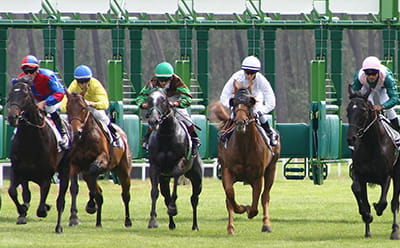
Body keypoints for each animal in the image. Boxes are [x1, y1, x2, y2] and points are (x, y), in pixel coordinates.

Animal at [54, 91, 133, 232]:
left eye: (83, 108)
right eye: (68, 108)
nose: (76, 132)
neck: (85, 138)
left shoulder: (103, 158)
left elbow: (93, 170)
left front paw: (91, 204)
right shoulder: (74, 164)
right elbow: (75, 188)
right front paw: (74, 217)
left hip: (124, 170)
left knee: (125, 194)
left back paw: (128, 221)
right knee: (97, 190)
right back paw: (98, 221)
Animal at [145, 87, 203, 231]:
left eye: (163, 99)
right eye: (149, 99)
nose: (153, 121)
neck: (166, 136)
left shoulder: (179, 163)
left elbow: (175, 184)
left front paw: (173, 208)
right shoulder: (155, 167)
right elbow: (154, 192)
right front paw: (152, 221)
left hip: (197, 178)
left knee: (194, 199)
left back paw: (195, 225)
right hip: (164, 179)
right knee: (166, 196)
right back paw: (171, 224)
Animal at [212, 86, 282, 234]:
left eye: (251, 102)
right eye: (233, 102)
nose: (240, 122)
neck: (244, 147)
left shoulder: (257, 176)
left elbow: (256, 202)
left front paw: (249, 210)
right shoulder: (227, 171)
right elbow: (230, 195)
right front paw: (242, 209)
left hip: (271, 169)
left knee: (265, 196)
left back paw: (266, 225)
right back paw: (230, 227)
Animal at [346, 85, 400, 238]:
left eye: (363, 111)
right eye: (348, 110)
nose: (351, 138)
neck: (371, 145)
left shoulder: (386, 175)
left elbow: (384, 202)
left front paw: (378, 209)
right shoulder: (359, 175)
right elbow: (357, 191)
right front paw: (366, 216)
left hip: (398, 174)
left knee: (394, 202)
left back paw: (395, 230)